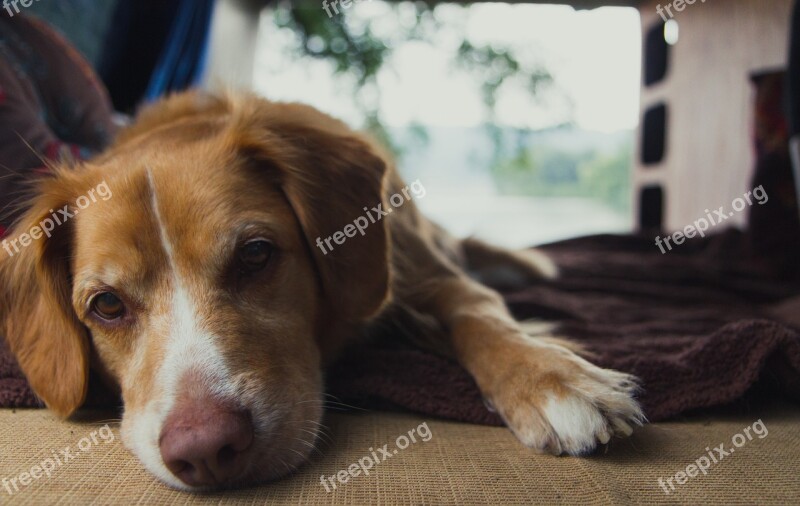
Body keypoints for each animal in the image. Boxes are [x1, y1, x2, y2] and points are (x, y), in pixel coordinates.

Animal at [0, 92, 644, 490]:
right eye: (107, 305)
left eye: (255, 254)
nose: (205, 451)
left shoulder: (425, 271)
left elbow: (478, 313)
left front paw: (552, 379)